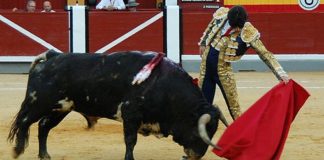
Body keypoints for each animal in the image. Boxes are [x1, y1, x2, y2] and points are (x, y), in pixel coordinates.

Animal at [8, 50, 224, 160]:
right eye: (199, 130)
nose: (196, 155)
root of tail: (51, 56)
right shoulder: (131, 115)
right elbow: (130, 141)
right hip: (38, 102)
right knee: (25, 122)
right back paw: (17, 151)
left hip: (61, 108)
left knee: (43, 126)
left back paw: (44, 155)